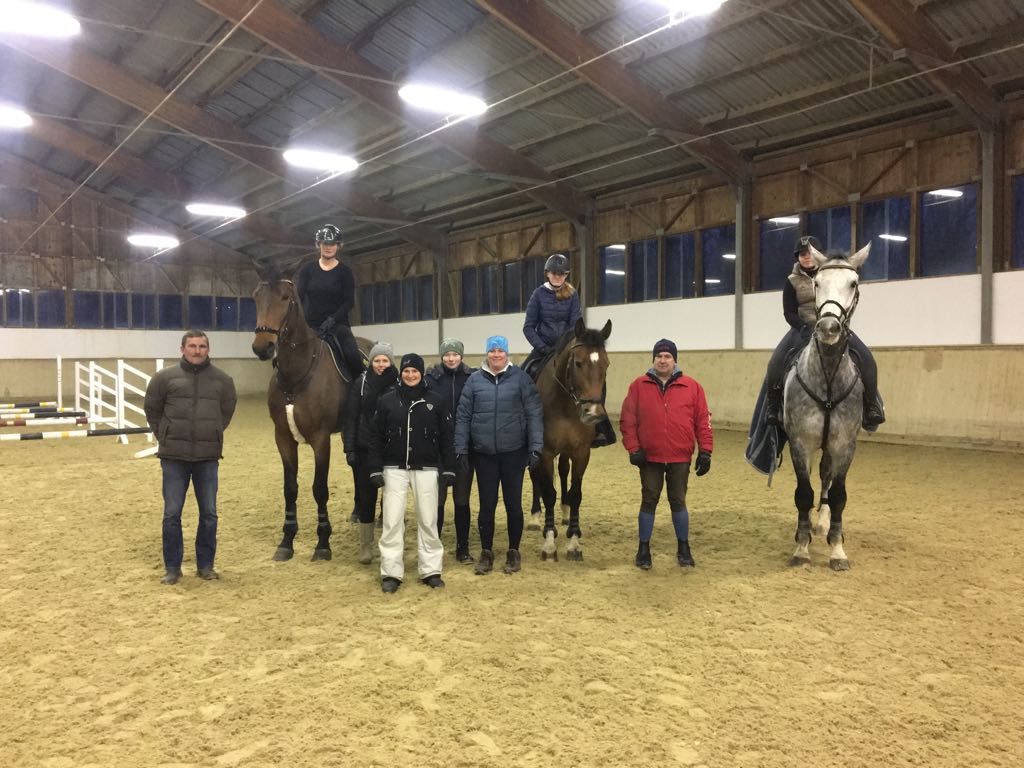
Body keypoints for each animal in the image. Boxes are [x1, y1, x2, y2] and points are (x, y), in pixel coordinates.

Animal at [251, 275, 370, 562]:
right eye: (256, 297)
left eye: (285, 298)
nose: (263, 346)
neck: (297, 374)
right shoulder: (283, 438)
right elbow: (290, 488)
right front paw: (286, 541)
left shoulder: (320, 439)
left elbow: (319, 488)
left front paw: (323, 543)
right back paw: (357, 511)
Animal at [528, 318, 612, 562]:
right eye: (578, 363)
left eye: (606, 364)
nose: (593, 413)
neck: (565, 404)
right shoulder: (545, 452)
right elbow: (548, 493)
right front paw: (549, 544)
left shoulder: (582, 452)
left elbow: (575, 494)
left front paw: (574, 542)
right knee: (535, 477)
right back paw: (535, 517)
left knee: (564, 471)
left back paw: (565, 513)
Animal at [783, 243, 870, 571]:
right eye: (816, 284)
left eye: (853, 284)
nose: (829, 327)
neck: (828, 376)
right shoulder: (800, 442)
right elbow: (803, 493)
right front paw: (801, 548)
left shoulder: (844, 444)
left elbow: (839, 494)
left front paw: (837, 550)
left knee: (826, 479)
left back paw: (821, 524)